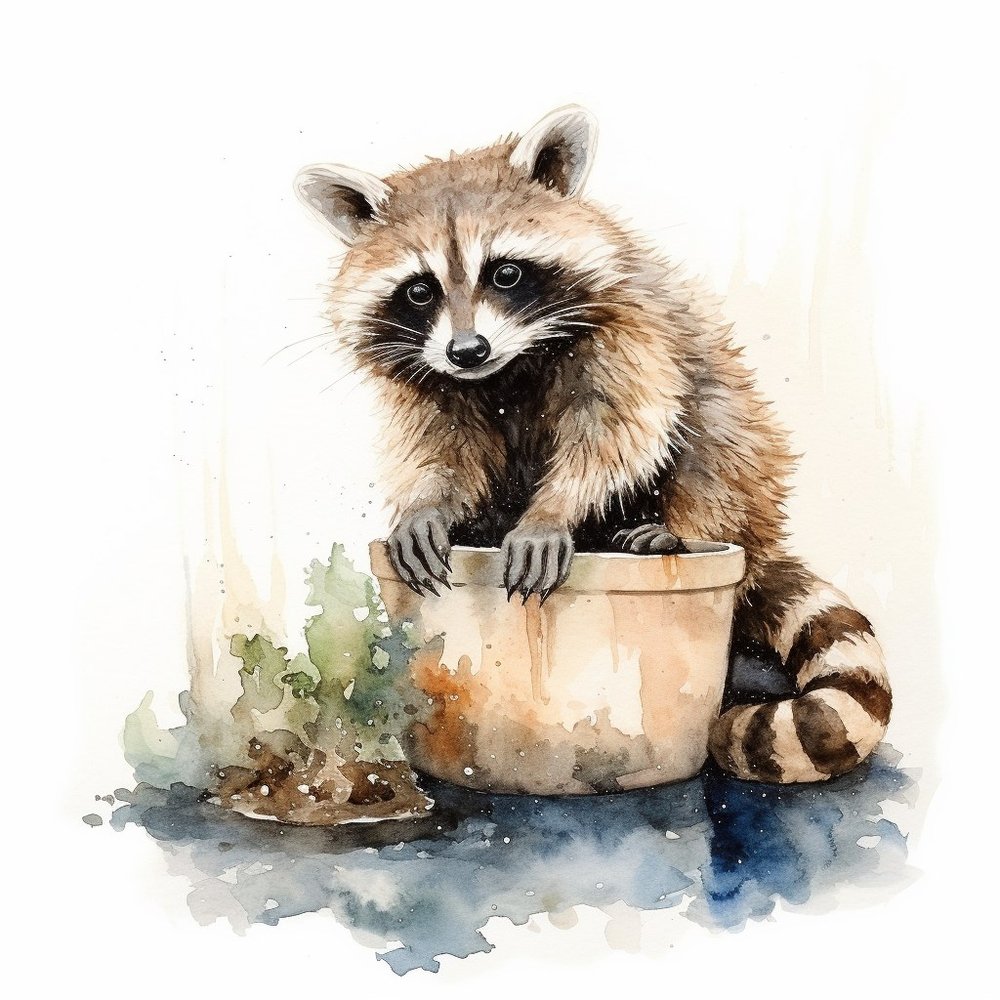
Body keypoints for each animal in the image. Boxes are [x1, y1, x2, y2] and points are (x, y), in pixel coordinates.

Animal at [295, 106, 891, 784]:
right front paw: (430, 506)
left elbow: (623, 428)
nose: (467, 350)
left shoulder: (630, 327)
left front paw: (554, 509)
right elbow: (440, 445)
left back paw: (676, 529)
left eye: (505, 272)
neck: (509, 367)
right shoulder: (430, 377)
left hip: (742, 445)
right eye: (420, 290)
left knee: (716, 439)